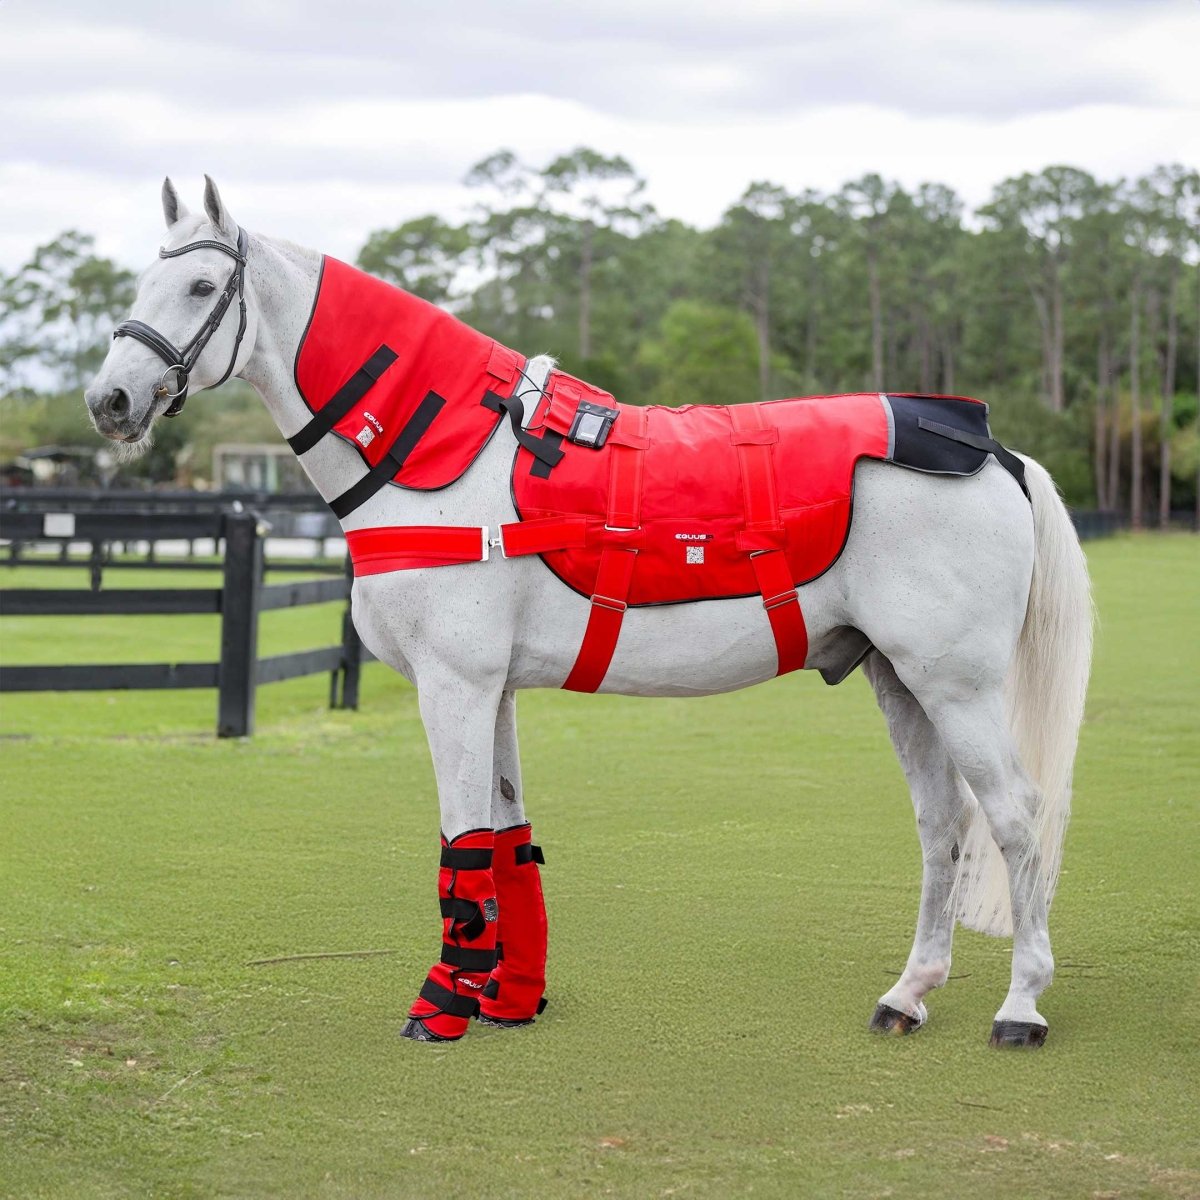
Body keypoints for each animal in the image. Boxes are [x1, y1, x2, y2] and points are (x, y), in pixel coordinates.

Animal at [83, 177, 1092, 1048]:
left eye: (202, 284)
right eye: (140, 282)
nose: (110, 401)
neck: (444, 454)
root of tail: (989, 448)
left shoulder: (454, 687)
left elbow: (460, 841)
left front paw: (442, 1004)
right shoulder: (491, 690)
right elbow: (502, 838)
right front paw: (506, 999)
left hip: (954, 686)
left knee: (1014, 818)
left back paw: (1022, 1007)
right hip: (899, 680)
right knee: (942, 825)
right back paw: (908, 994)